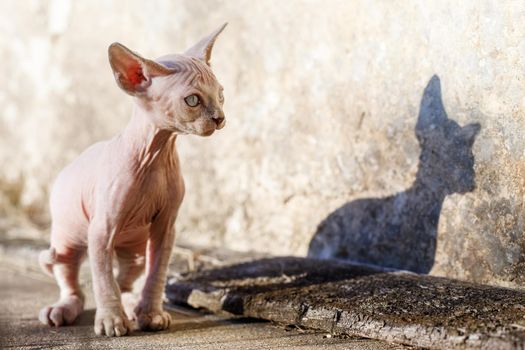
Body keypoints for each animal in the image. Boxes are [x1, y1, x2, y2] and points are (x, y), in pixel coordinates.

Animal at [36, 24, 225, 336]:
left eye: (221, 95)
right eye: (193, 100)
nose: (220, 118)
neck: (156, 155)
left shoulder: (166, 228)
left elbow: (156, 274)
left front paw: (150, 313)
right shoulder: (101, 230)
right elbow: (102, 280)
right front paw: (111, 320)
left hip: (135, 247)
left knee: (126, 278)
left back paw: (132, 304)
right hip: (67, 238)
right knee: (72, 280)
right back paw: (63, 309)